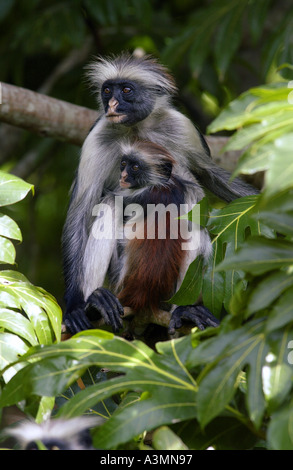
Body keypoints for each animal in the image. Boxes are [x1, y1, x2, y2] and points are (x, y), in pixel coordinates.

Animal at [62, 52, 256, 334]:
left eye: (126, 90)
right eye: (107, 90)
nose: (112, 104)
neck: (137, 128)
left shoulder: (181, 126)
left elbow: (210, 177)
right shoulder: (97, 137)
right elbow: (82, 209)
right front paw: (75, 306)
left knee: (192, 212)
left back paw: (185, 310)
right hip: (118, 281)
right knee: (108, 206)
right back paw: (94, 305)